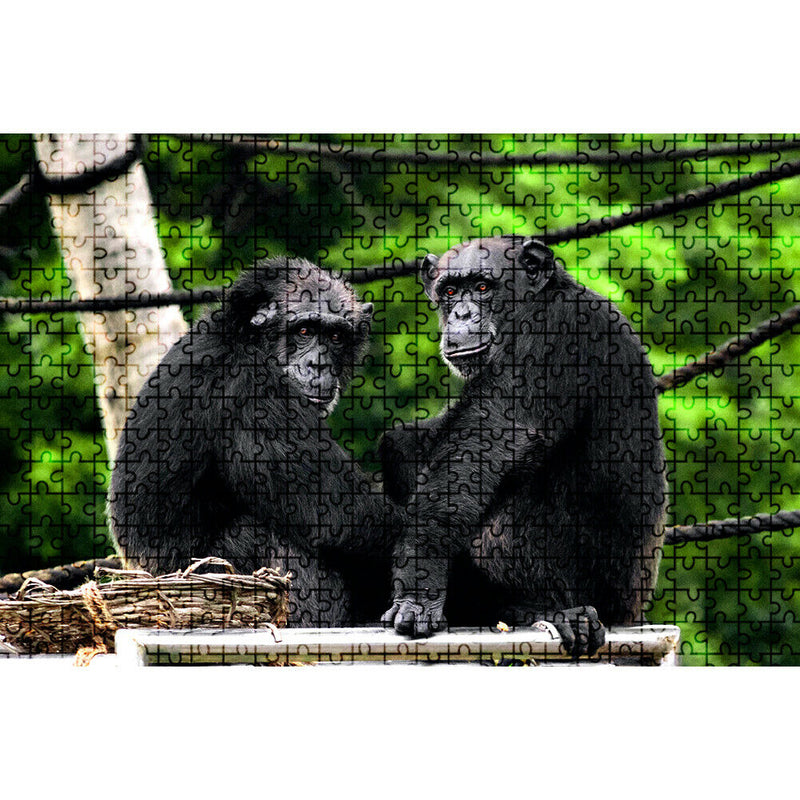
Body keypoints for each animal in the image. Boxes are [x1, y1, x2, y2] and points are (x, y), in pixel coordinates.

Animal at [108, 257, 395, 626]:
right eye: (304, 331)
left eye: (335, 335)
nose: (319, 363)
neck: (246, 340)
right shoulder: (253, 392)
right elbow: (342, 516)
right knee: (267, 531)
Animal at [379, 236, 667, 656]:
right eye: (449, 291)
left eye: (483, 286)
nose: (461, 314)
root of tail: (633, 612)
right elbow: (423, 438)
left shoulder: (557, 331)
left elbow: (493, 439)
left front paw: (420, 577)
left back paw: (549, 610)